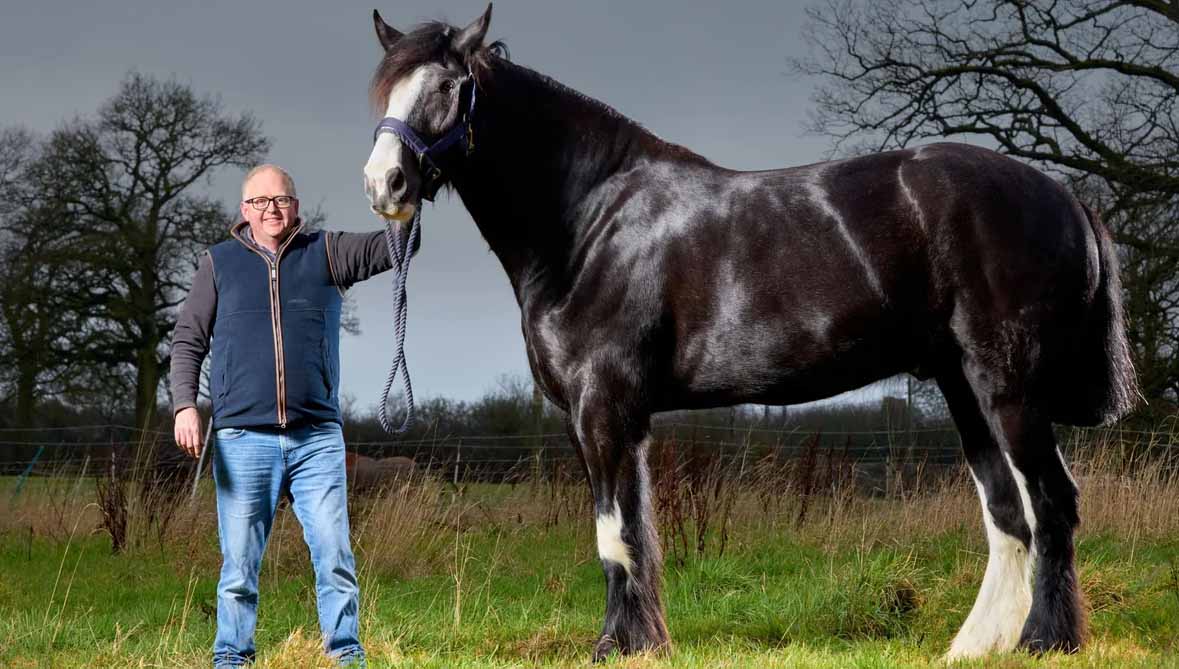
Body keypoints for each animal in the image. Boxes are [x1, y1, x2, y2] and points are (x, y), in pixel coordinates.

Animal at [360, 6, 1139, 661]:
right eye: (385, 91)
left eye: (448, 86)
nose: (384, 184)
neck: (589, 221)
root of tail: (1063, 194)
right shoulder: (612, 419)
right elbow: (636, 530)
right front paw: (645, 641)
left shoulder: (602, 407)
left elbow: (614, 534)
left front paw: (613, 645)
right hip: (962, 388)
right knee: (1009, 516)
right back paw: (974, 646)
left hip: (1007, 386)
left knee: (1052, 503)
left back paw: (1044, 640)